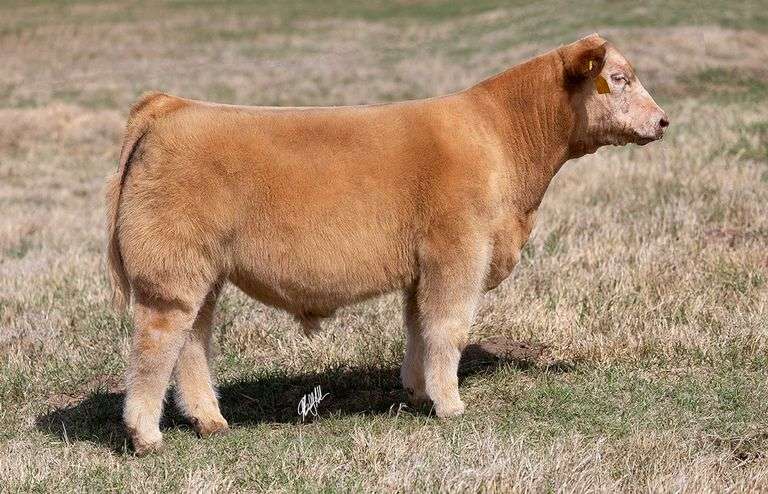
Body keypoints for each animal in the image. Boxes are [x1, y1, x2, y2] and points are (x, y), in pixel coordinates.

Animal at [106, 33, 668, 455]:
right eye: (619, 79)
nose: (663, 120)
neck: (501, 137)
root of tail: (171, 105)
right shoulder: (458, 251)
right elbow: (448, 328)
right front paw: (451, 406)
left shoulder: (423, 267)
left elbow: (418, 327)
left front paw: (419, 392)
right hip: (172, 273)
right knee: (156, 345)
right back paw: (145, 436)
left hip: (202, 274)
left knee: (191, 342)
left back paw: (209, 421)